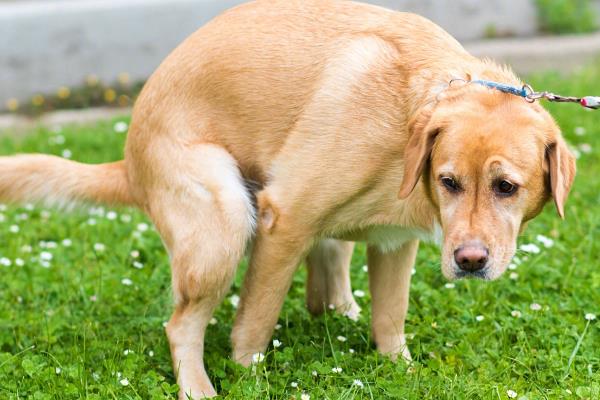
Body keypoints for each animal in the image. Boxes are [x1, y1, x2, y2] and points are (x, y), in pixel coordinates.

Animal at [0, 1, 576, 398]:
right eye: (449, 181)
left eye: (506, 187)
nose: (469, 261)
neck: (411, 116)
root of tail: (130, 163)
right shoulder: (285, 218)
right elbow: (254, 325)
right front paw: (247, 376)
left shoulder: (394, 244)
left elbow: (390, 320)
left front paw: (401, 371)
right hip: (225, 220)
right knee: (181, 324)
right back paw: (197, 387)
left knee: (326, 286)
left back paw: (340, 313)